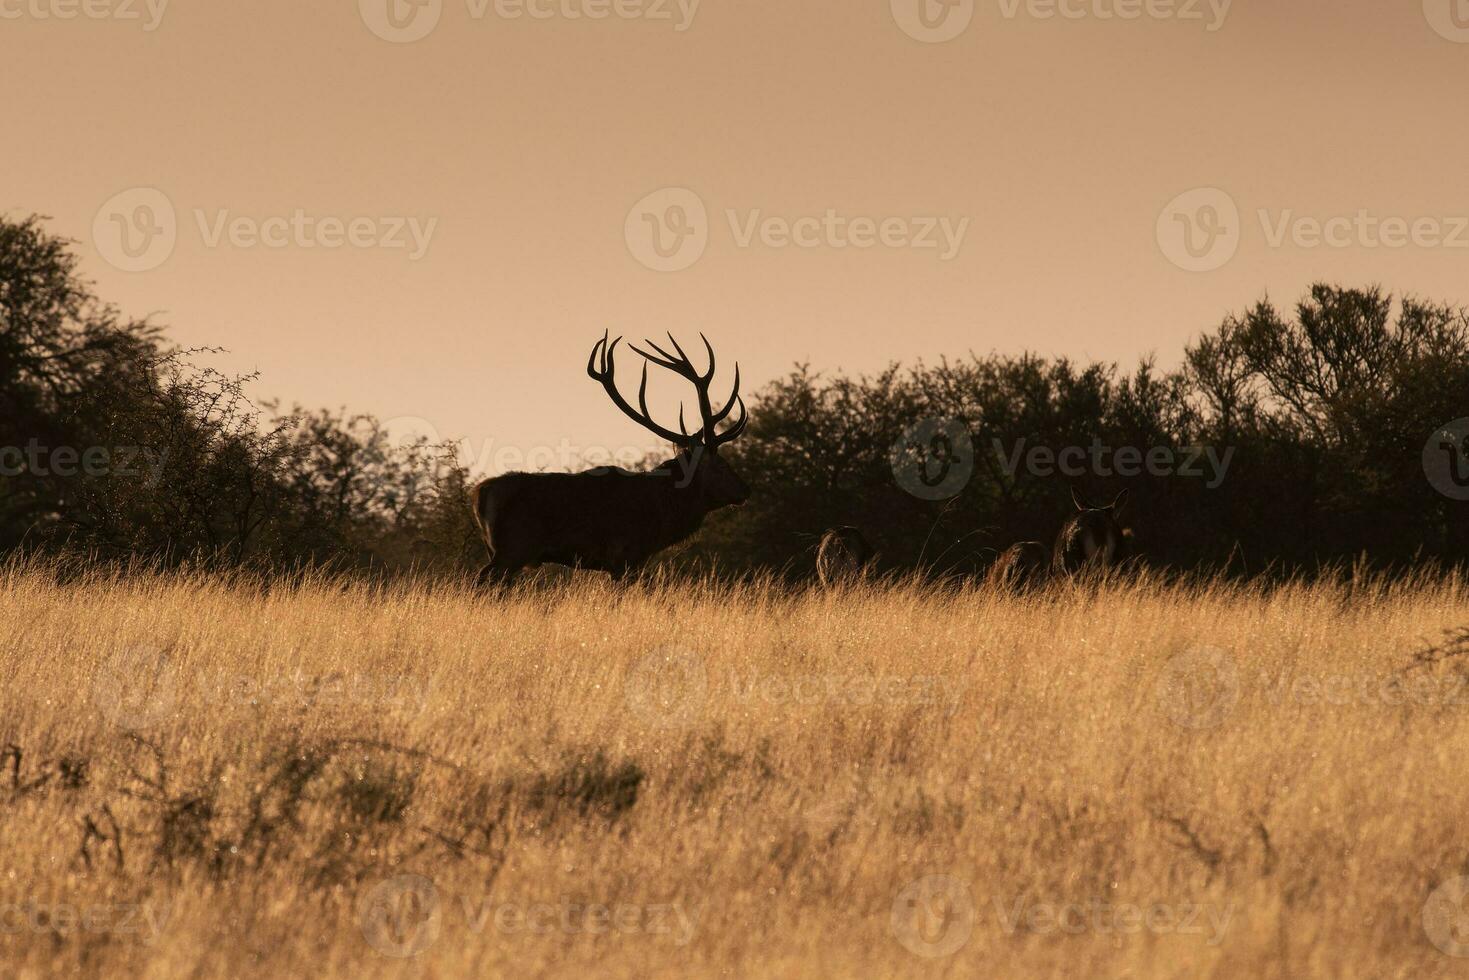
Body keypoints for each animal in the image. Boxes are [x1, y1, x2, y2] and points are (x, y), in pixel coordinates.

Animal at [470, 333, 746, 587]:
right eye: (721, 465)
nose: (746, 489)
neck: (661, 512)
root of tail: (480, 493)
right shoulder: (624, 556)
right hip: (514, 547)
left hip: (499, 549)